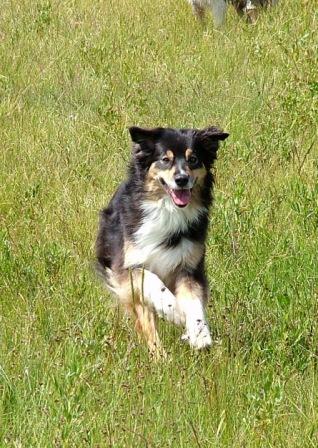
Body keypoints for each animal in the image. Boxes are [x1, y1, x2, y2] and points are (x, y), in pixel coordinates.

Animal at [95, 126, 229, 356]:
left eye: (193, 159)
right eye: (165, 160)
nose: (182, 179)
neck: (168, 210)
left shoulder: (189, 266)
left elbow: (193, 302)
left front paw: (199, 334)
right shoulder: (127, 267)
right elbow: (153, 283)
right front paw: (176, 312)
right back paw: (160, 358)